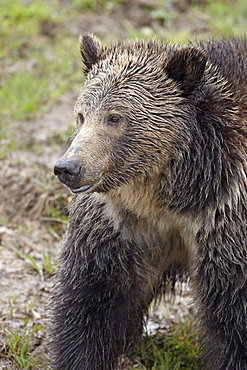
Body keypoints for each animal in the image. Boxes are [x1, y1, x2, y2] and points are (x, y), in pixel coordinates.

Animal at [52, 34, 247, 370]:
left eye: (115, 117)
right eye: (81, 115)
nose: (69, 167)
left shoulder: (224, 219)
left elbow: (232, 314)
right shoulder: (123, 224)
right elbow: (94, 296)